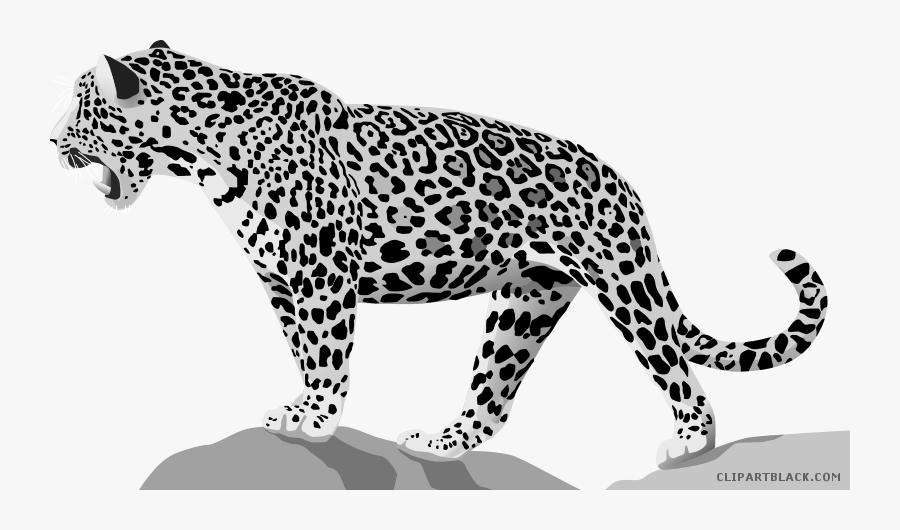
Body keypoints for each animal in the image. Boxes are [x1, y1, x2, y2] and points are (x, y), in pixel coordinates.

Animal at [50, 41, 828, 469]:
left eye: (82, 104)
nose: (50, 140)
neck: (205, 153)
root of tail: (621, 179)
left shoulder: (321, 277)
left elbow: (327, 355)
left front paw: (315, 419)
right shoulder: (280, 282)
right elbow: (302, 353)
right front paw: (297, 409)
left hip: (624, 284)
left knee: (678, 372)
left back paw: (690, 444)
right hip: (525, 303)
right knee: (493, 395)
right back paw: (440, 441)